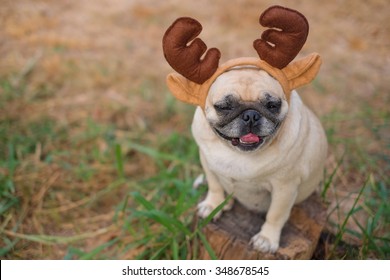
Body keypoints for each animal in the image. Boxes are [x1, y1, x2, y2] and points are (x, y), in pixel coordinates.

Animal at [163, 5, 328, 253]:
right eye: (223, 106)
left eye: (272, 105)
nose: (250, 115)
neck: (238, 155)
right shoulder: (208, 163)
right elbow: (215, 186)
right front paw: (213, 205)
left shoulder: (285, 188)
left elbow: (276, 215)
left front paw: (267, 239)